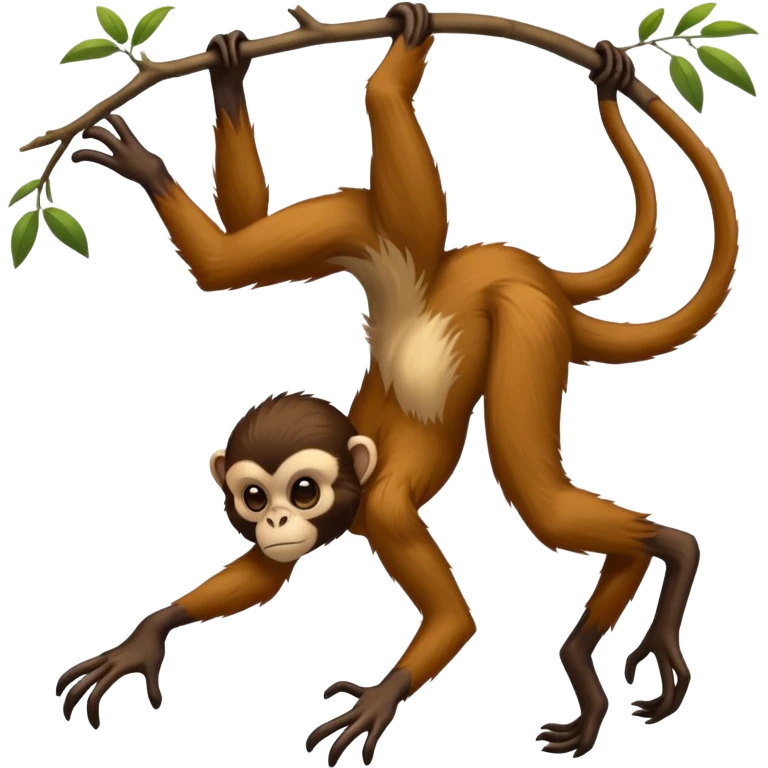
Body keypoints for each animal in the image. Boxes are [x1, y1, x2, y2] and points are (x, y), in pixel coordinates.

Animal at [57, 1, 735, 761]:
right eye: (255, 499)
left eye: (301, 491)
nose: (279, 520)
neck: (362, 461)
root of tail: (508, 268)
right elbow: (265, 573)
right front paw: (146, 637)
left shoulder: (383, 511)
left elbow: (456, 618)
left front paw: (378, 700)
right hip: (379, 238)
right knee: (234, 260)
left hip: (510, 313)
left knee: (543, 503)